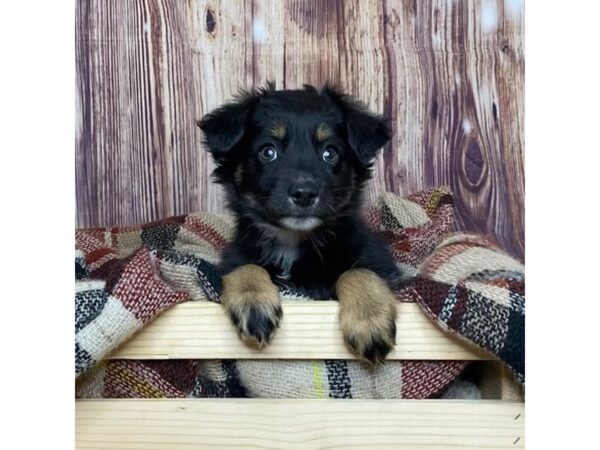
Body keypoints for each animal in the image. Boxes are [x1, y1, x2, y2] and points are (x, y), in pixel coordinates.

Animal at [198, 83, 404, 366]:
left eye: (330, 153)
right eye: (268, 152)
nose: (304, 193)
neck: (292, 241)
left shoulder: (378, 259)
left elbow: (358, 271)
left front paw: (369, 319)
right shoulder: (236, 255)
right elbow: (247, 266)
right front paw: (253, 302)